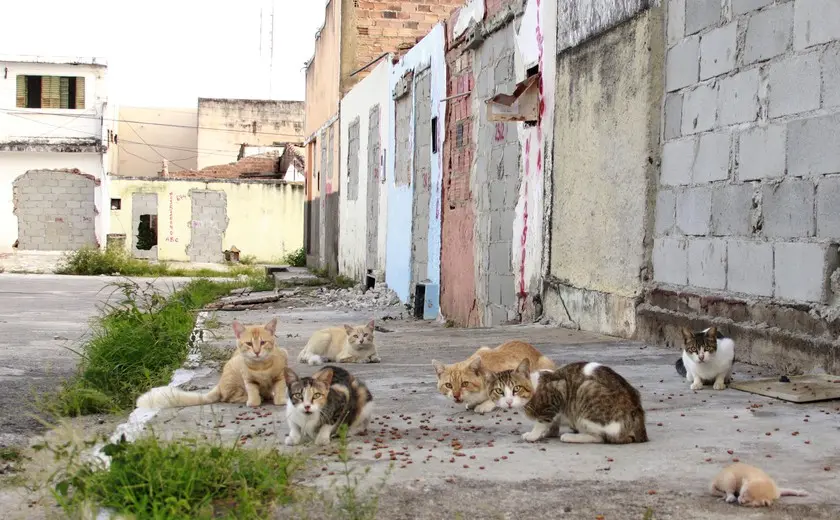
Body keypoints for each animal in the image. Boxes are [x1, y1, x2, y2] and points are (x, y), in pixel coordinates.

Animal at [135, 316, 286, 410]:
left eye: (263, 342)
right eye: (249, 344)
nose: (257, 352)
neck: (261, 367)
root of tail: (219, 384)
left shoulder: (279, 376)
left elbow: (279, 388)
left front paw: (280, 400)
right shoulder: (248, 379)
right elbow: (253, 392)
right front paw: (254, 401)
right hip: (233, 373)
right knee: (229, 397)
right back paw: (252, 397)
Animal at [482, 362, 648, 442]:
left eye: (516, 388)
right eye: (499, 391)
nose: (509, 401)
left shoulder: (557, 392)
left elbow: (543, 420)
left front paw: (534, 434)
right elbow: (552, 422)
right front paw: (548, 432)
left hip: (585, 395)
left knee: (600, 437)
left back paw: (571, 437)